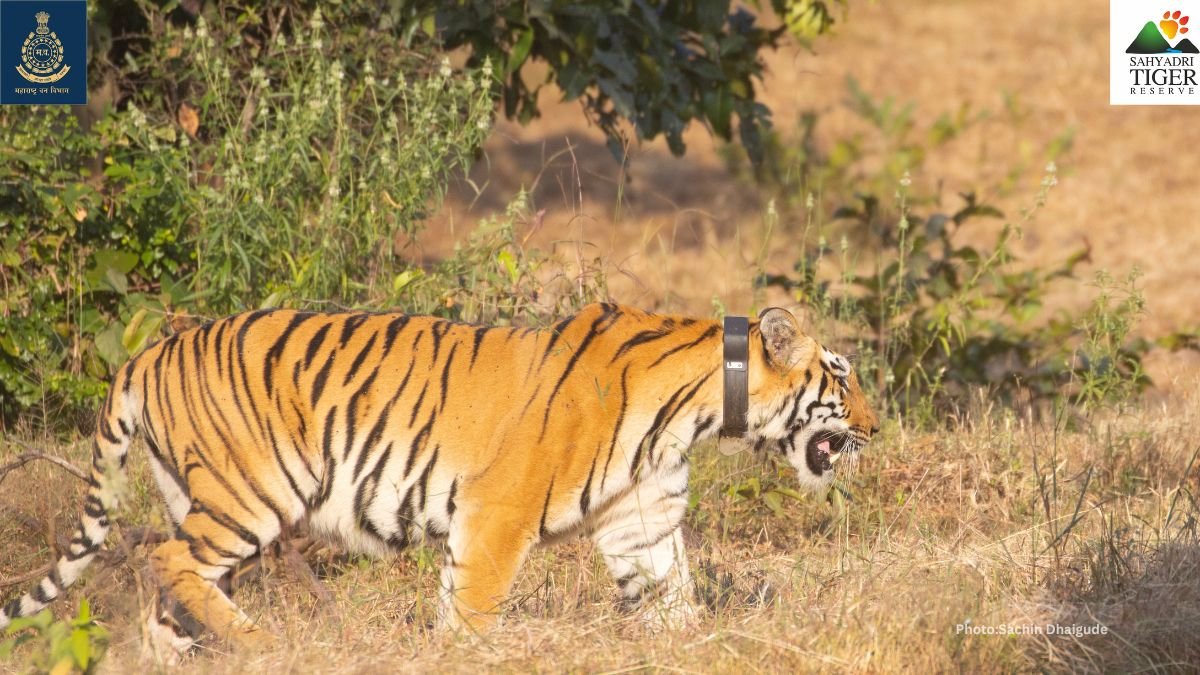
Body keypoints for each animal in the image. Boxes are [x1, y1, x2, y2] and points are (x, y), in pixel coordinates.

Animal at [0, 302, 878, 657]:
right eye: (841, 375)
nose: (876, 425)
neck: (700, 409)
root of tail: (148, 351)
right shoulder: (498, 509)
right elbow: (475, 606)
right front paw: (469, 654)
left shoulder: (643, 522)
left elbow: (674, 598)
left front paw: (708, 647)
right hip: (252, 494)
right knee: (165, 559)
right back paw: (263, 643)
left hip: (206, 502)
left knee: (170, 587)